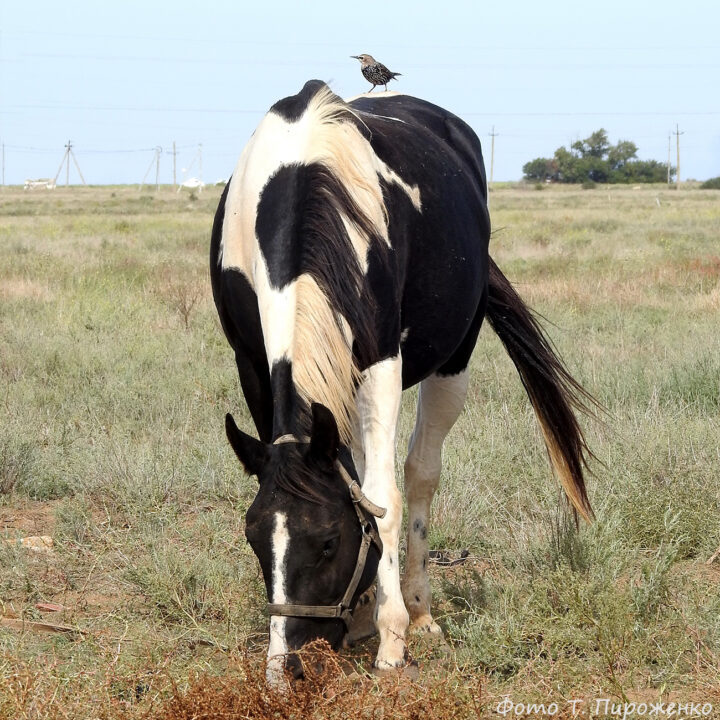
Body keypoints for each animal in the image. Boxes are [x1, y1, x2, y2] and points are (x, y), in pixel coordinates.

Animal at [210, 81, 596, 684]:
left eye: (328, 542)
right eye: (253, 537)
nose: (290, 666)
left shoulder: (379, 361)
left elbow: (383, 500)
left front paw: (392, 638)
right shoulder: (252, 361)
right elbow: (353, 484)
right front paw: (367, 612)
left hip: (452, 361)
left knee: (419, 475)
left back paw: (416, 610)